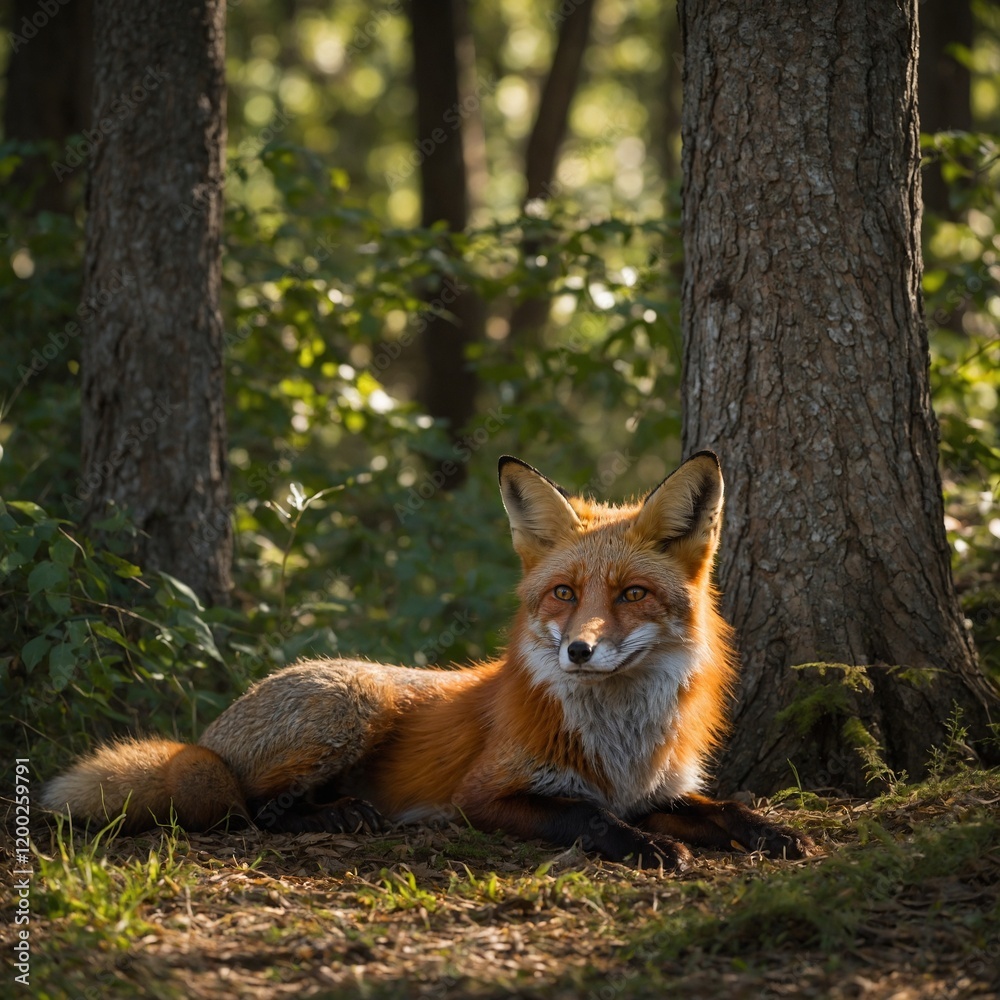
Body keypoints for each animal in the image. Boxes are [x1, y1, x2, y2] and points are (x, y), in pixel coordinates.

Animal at [42, 452, 811, 870]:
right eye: (564, 593)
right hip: (353, 704)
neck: (620, 740)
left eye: (632, 594)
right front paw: (645, 848)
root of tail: (202, 739)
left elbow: (725, 808)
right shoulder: (489, 796)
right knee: (249, 808)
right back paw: (339, 816)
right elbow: (589, 819)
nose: (579, 650)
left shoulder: (656, 790)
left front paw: (772, 832)